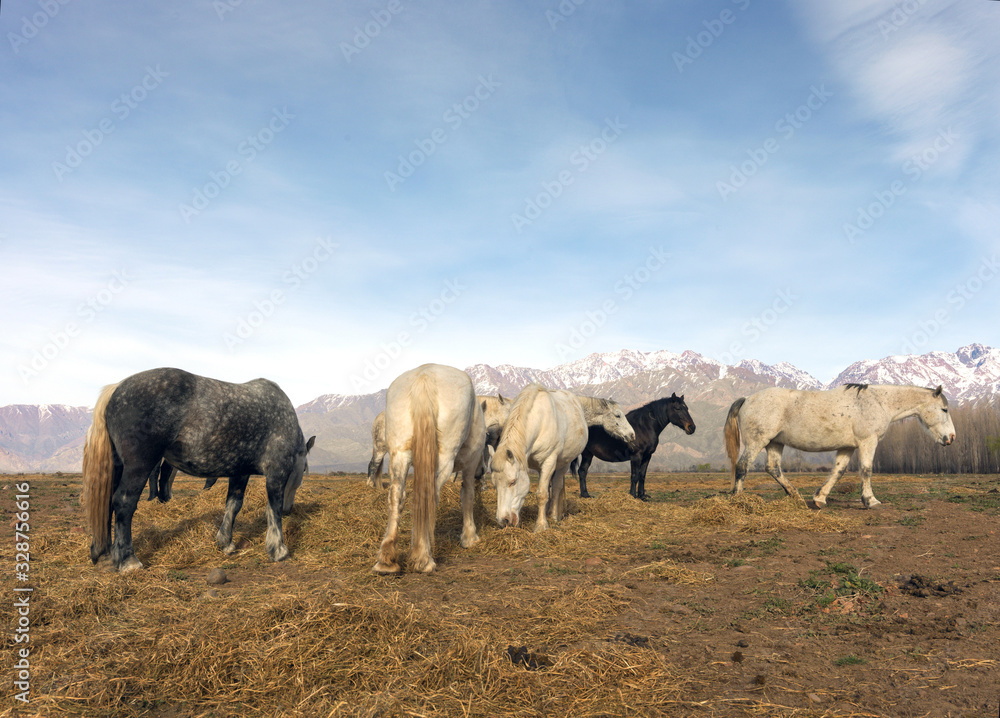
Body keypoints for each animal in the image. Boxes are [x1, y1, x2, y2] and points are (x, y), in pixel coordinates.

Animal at [82, 367, 315, 572]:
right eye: (302, 473)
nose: (289, 509)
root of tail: (117, 388)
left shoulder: (240, 472)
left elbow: (233, 505)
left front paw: (225, 542)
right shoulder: (277, 471)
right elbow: (272, 509)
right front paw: (278, 549)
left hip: (117, 467)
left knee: (108, 504)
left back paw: (108, 554)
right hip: (139, 466)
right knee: (123, 503)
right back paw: (128, 560)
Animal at [373, 364, 487, 574]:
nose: (482, 471)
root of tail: (424, 375)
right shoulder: (470, 464)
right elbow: (467, 496)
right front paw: (469, 537)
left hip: (399, 454)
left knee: (396, 496)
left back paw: (387, 559)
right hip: (444, 458)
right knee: (430, 495)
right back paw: (423, 557)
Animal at [490, 384, 589, 532]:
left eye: (513, 482)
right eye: (494, 484)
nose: (503, 521)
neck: (539, 421)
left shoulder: (549, 462)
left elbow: (542, 494)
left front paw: (541, 525)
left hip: (563, 464)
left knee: (557, 487)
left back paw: (553, 515)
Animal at [725, 383, 955, 509]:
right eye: (944, 409)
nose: (951, 437)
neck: (878, 402)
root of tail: (747, 399)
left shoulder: (847, 447)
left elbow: (838, 472)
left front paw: (820, 498)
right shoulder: (867, 442)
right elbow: (866, 470)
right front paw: (870, 500)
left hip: (775, 443)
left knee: (773, 468)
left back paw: (796, 496)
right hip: (757, 441)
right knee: (743, 466)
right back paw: (738, 500)